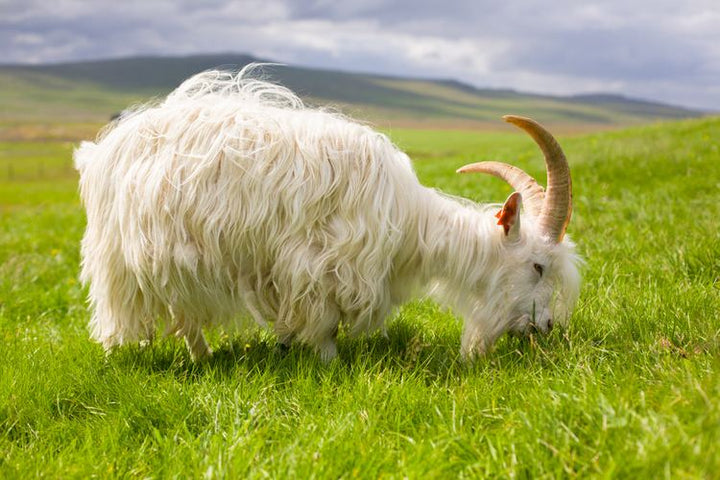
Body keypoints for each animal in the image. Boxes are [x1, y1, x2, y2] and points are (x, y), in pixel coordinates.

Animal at [74, 67, 581, 361]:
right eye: (538, 266)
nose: (547, 328)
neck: (407, 223)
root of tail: (102, 151)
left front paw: (286, 345)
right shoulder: (322, 265)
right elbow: (324, 325)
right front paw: (326, 363)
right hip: (144, 257)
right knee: (173, 312)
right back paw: (190, 359)